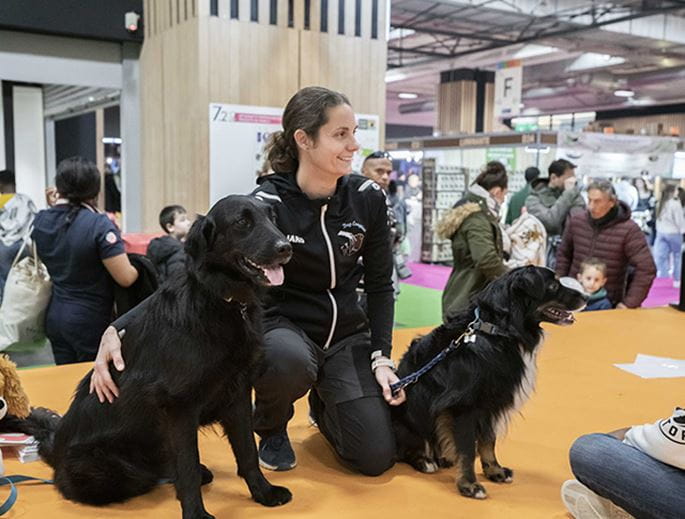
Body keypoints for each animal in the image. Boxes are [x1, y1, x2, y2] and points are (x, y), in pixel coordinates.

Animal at [24, 196, 294, 519]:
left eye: (272, 218)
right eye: (242, 222)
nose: (286, 248)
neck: (223, 301)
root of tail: (56, 446)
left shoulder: (238, 394)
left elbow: (248, 452)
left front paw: (263, 493)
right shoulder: (178, 406)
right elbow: (187, 466)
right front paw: (195, 513)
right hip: (107, 472)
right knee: (147, 474)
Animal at [392, 268, 584, 500]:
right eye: (553, 285)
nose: (586, 297)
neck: (496, 330)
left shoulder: (491, 404)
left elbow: (488, 440)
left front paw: (494, 470)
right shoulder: (463, 406)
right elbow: (467, 449)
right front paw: (469, 484)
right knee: (408, 449)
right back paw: (425, 461)